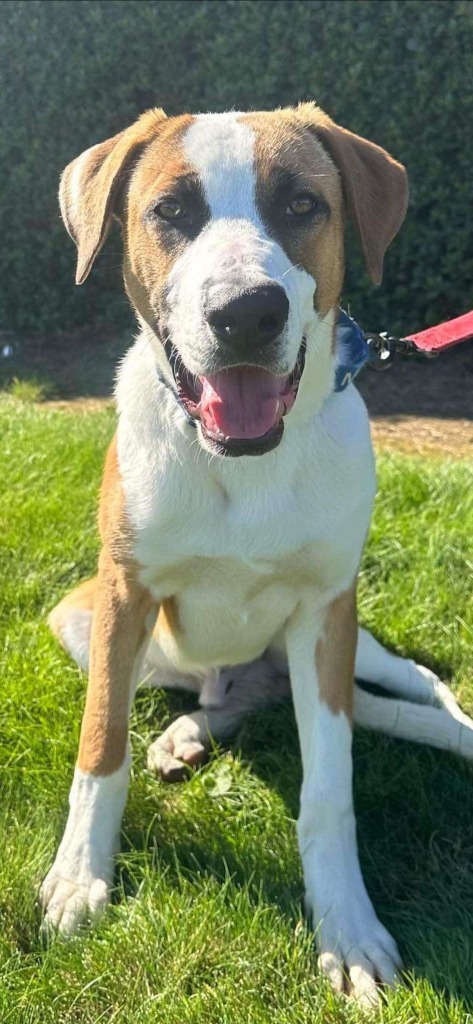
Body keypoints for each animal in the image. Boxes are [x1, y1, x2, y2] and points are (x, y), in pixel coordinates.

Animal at [40, 105, 473, 1007]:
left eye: (302, 204)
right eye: (170, 210)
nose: (245, 314)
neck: (243, 462)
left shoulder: (326, 611)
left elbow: (329, 789)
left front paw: (347, 930)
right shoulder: (121, 595)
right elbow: (101, 745)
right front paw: (77, 880)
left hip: (353, 647)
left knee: (418, 691)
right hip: (83, 620)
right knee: (219, 697)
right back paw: (183, 735)